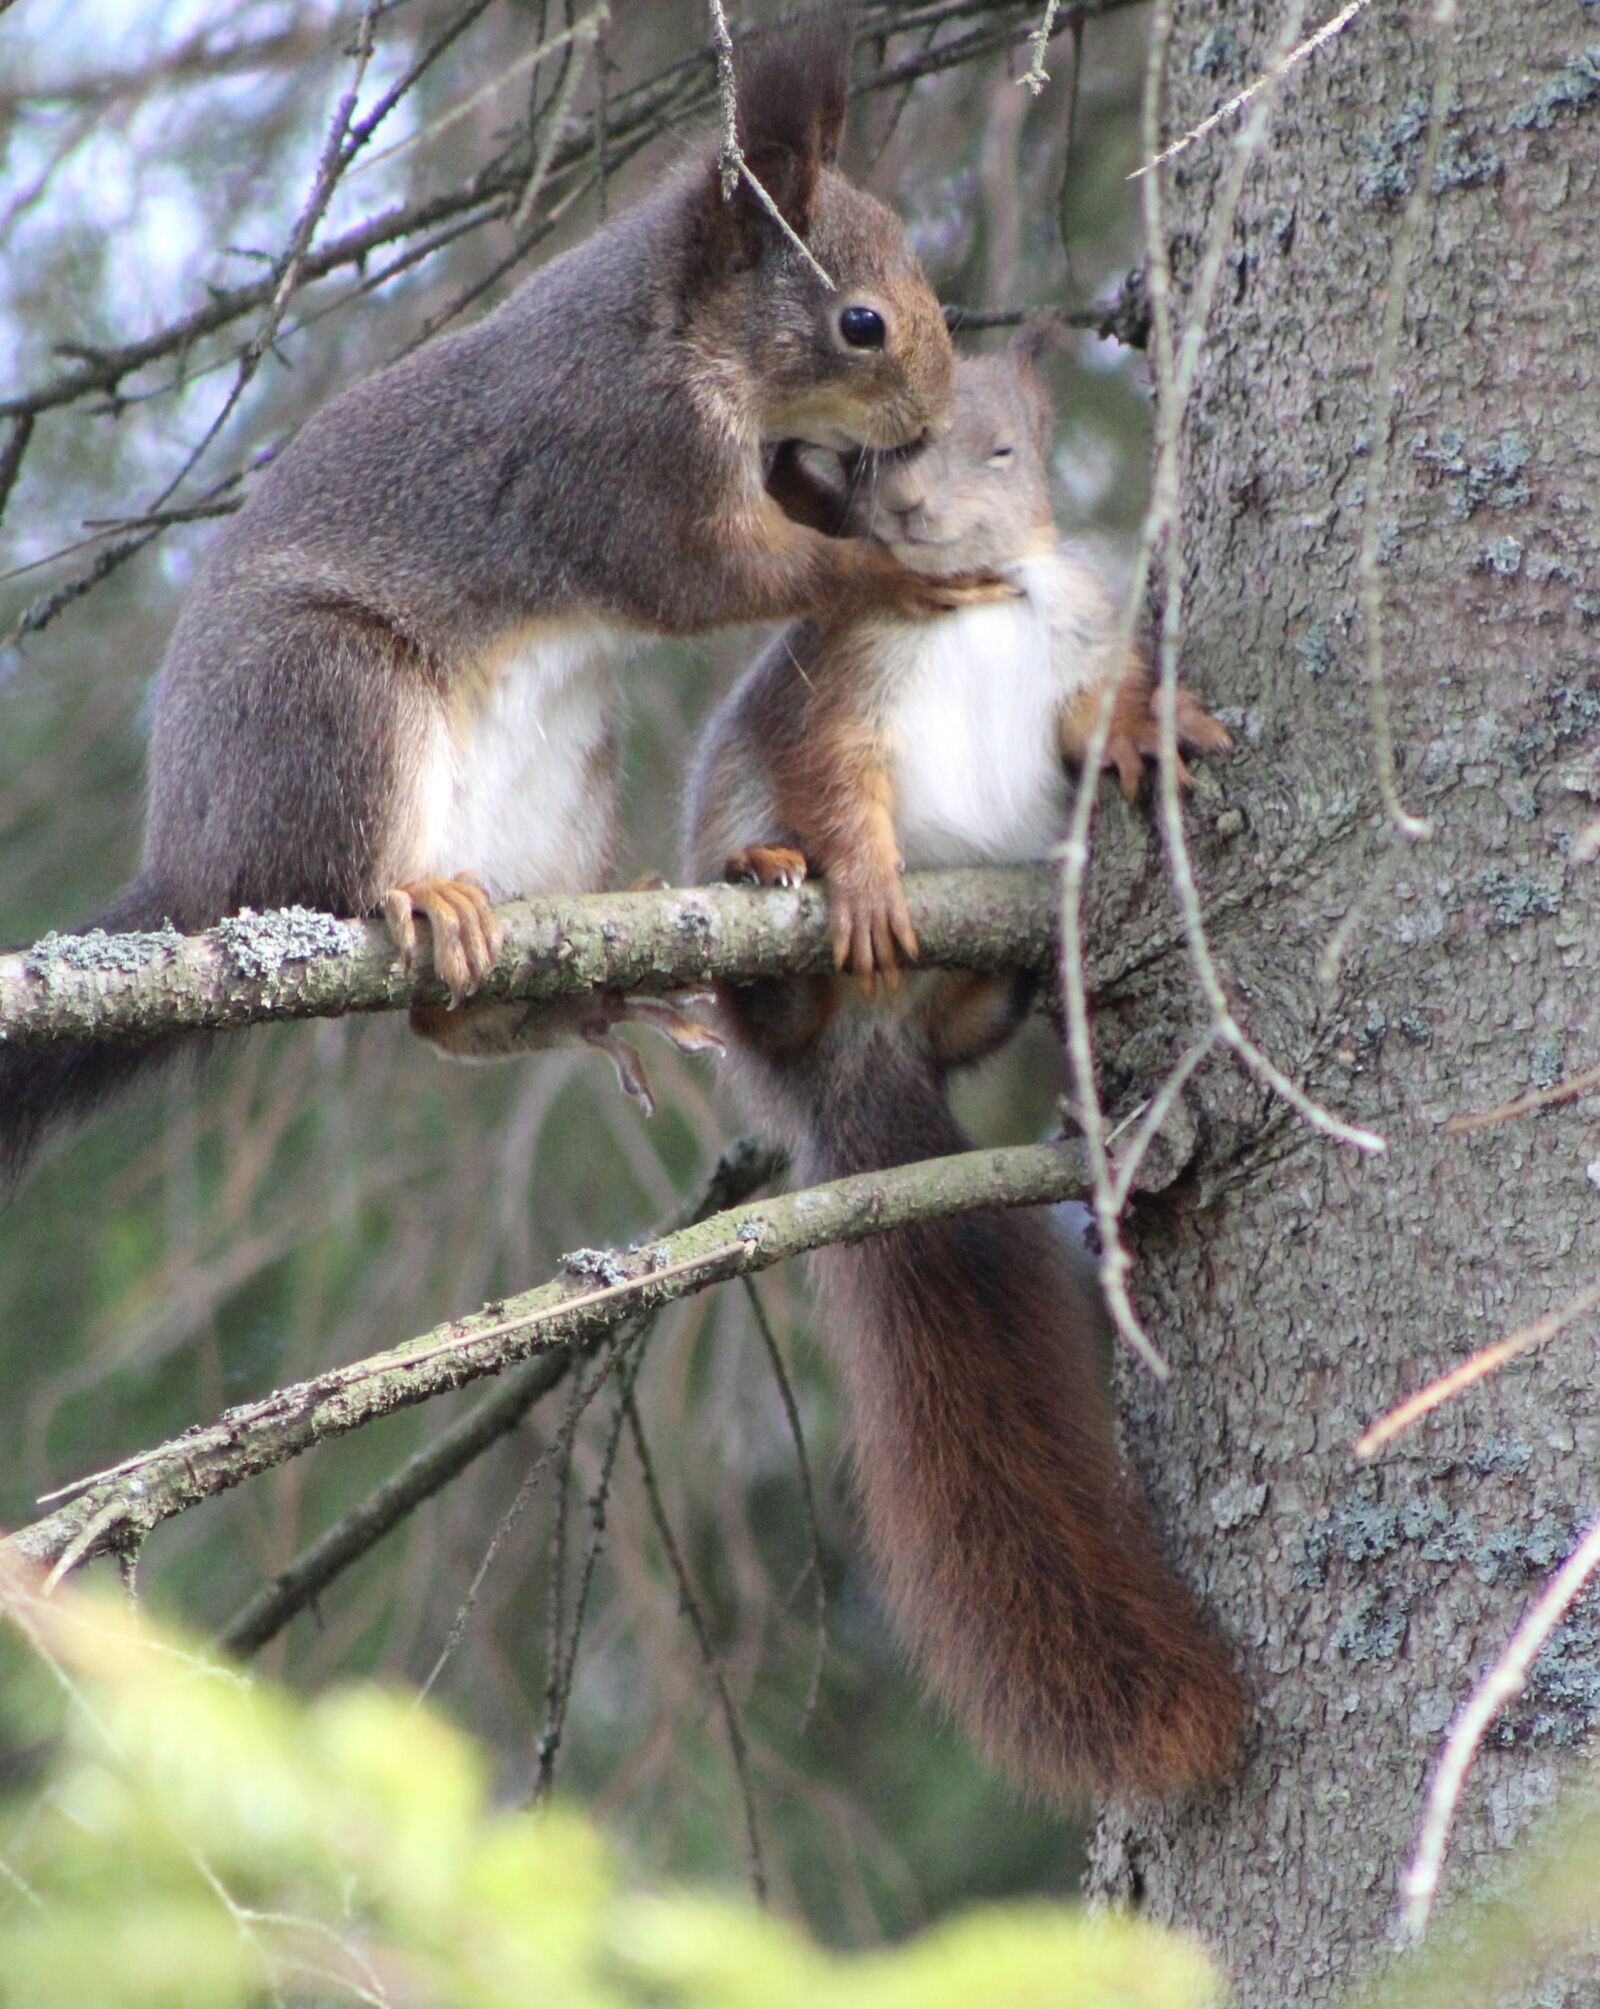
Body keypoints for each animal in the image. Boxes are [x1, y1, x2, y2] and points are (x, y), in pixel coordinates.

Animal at [0, 3, 1007, 1182]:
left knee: (442, 1016)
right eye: (861, 324)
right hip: (335, 700)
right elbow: (715, 578)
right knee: (327, 888)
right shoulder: (629, 464)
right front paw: (893, 569)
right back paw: (414, 893)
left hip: (563, 785)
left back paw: (601, 984)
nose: (934, 418)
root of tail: (190, 871)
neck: (681, 329)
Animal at [683, 324, 1243, 1800]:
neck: (976, 604)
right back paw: (774, 913)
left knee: (962, 1024)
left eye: (999, 450)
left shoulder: (1081, 633)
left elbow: (1091, 711)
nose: (922, 515)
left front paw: (1143, 730)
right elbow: (840, 785)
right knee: (773, 965)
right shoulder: (834, 690)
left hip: (957, 1001)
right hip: (755, 909)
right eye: (881, 453)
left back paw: (1002, 980)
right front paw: (864, 876)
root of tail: (855, 1077)